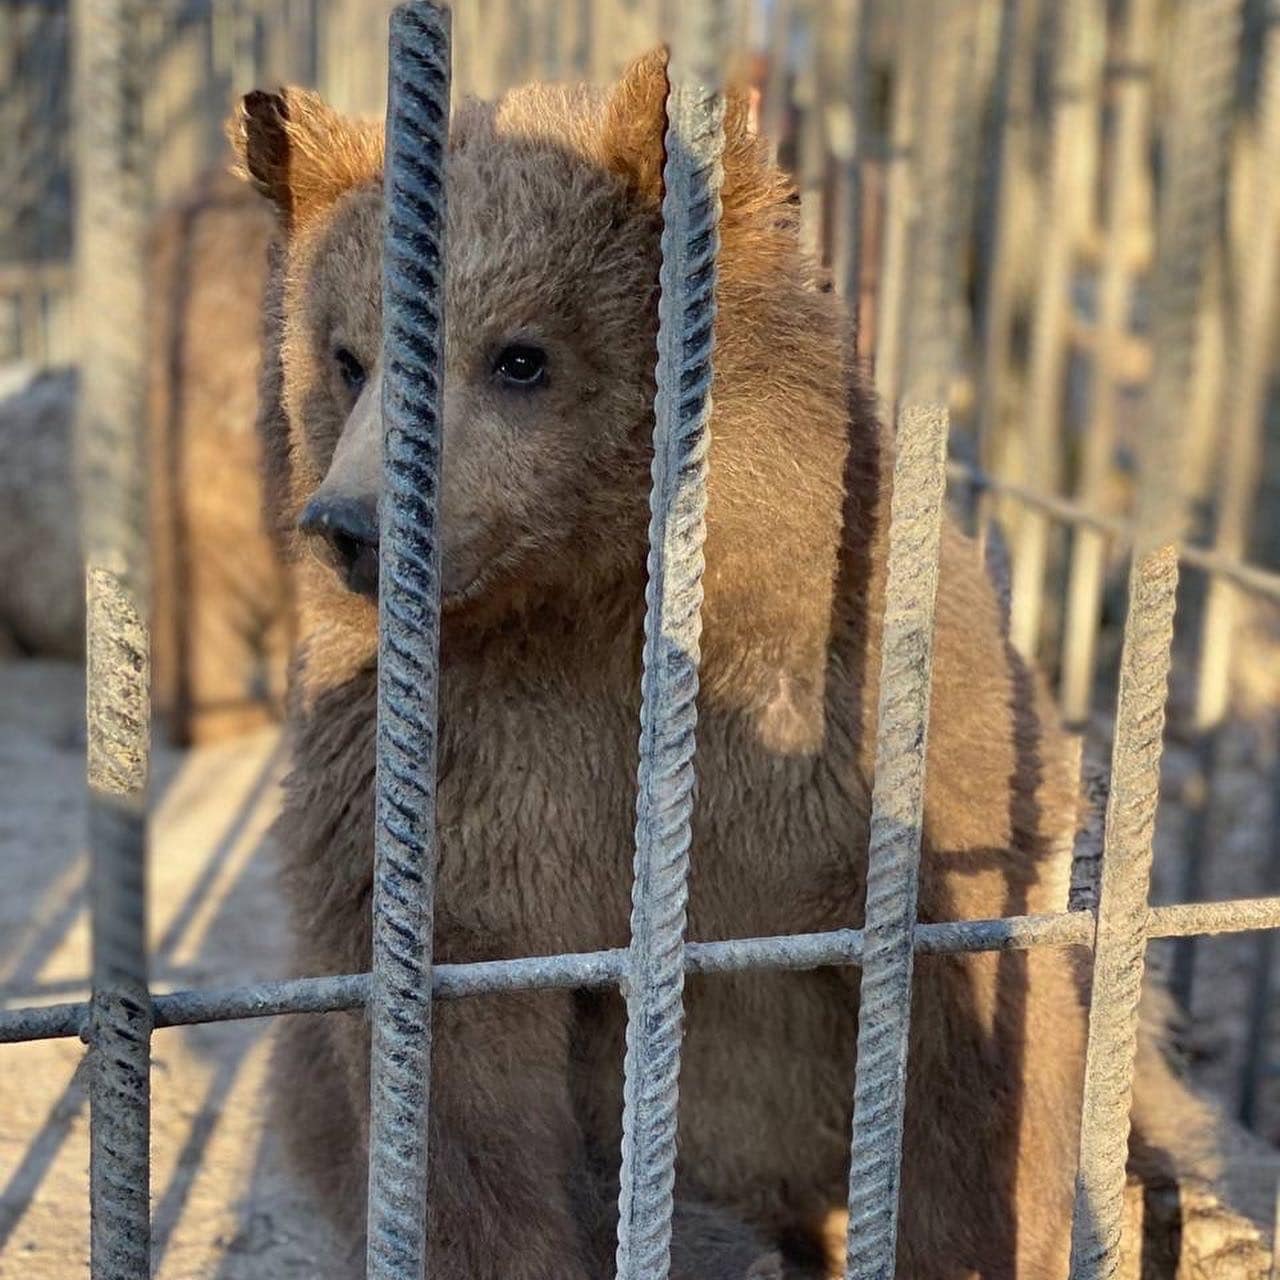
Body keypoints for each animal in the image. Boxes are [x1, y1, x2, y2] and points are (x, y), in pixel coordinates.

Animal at [227, 49, 1239, 1280]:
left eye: (520, 356)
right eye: (346, 356)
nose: (350, 523)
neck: (589, 594)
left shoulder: (863, 714)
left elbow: (976, 1015)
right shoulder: (453, 778)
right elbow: (460, 1074)